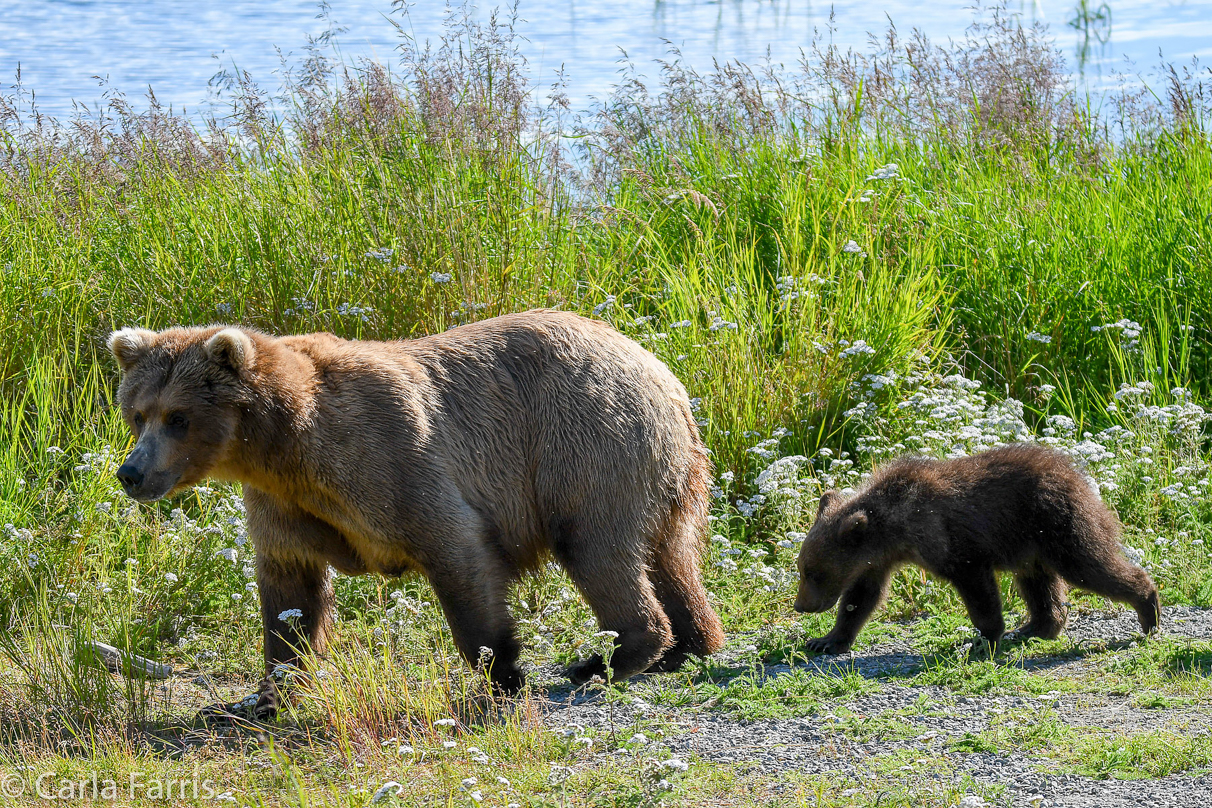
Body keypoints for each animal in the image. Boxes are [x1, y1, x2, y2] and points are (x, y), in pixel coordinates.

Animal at [106, 310, 717, 712]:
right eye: (137, 413)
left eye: (178, 417)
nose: (131, 473)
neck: (284, 445)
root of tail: (663, 374)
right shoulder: (286, 505)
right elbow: (289, 593)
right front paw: (267, 693)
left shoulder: (391, 457)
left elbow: (458, 551)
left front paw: (503, 673)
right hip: (661, 472)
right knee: (671, 556)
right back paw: (689, 644)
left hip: (585, 446)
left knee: (597, 549)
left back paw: (605, 659)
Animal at [790, 445, 1158, 654]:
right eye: (802, 569)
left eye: (815, 572)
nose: (801, 606)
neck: (895, 527)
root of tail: (1081, 478)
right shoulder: (876, 561)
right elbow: (861, 598)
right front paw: (827, 640)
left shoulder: (951, 543)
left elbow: (978, 590)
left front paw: (983, 639)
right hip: (1031, 543)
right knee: (1040, 583)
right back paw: (1034, 627)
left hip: (1056, 522)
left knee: (1089, 565)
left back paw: (1149, 611)